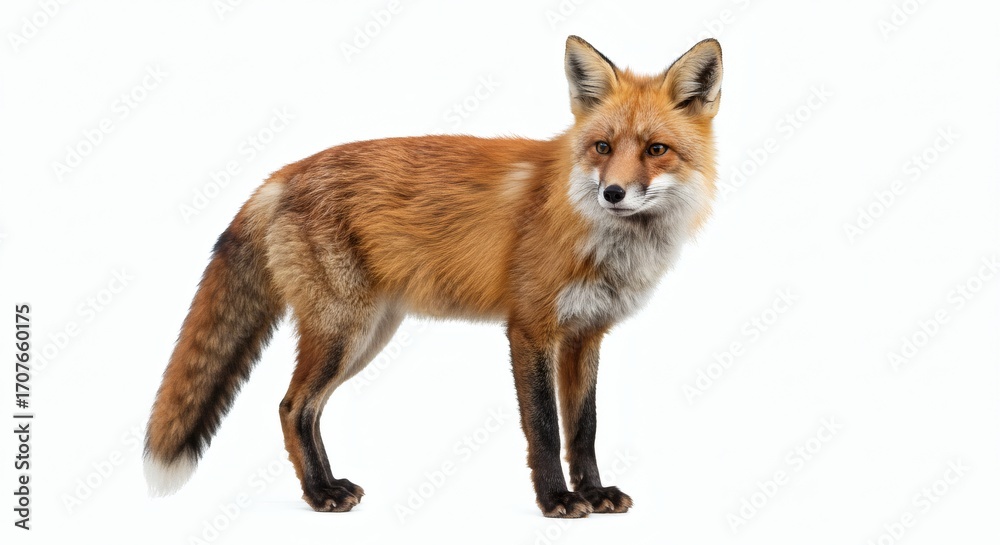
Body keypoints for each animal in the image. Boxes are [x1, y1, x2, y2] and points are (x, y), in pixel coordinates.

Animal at [144, 35, 723, 518]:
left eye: (656, 150)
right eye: (603, 147)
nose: (613, 193)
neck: (601, 238)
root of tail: (280, 174)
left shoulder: (585, 335)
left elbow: (584, 429)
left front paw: (594, 493)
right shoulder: (530, 329)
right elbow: (543, 429)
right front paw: (556, 500)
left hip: (368, 337)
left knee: (306, 410)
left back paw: (329, 485)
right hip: (343, 332)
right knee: (291, 406)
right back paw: (317, 493)